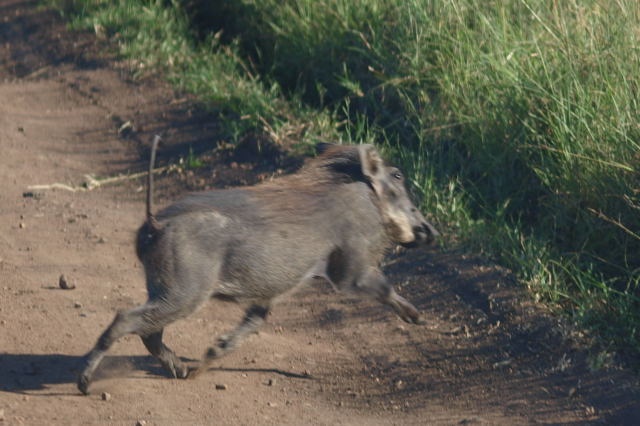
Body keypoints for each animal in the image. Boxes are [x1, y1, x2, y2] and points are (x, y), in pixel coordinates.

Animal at [77, 138, 439, 394]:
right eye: (397, 176)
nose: (431, 232)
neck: (367, 198)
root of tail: (156, 223)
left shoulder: (267, 296)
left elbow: (250, 327)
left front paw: (210, 357)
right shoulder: (351, 271)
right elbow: (383, 287)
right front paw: (418, 318)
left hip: (165, 291)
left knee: (150, 333)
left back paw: (182, 371)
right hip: (183, 295)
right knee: (127, 320)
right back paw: (84, 384)